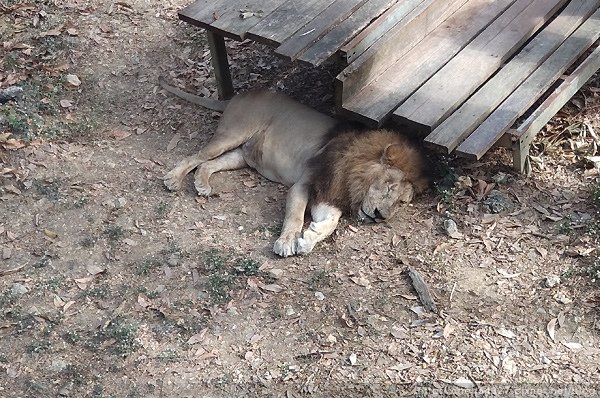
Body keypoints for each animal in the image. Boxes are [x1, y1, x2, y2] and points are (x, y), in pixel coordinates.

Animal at [161, 79, 432, 256]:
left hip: (241, 155)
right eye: (389, 187)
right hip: (232, 135)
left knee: (208, 164)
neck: (352, 176)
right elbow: (295, 215)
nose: (380, 217)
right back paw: (173, 179)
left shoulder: (330, 195)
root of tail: (240, 94)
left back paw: (202, 184)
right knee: (195, 156)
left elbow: (331, 223)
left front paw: (309, 238)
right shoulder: (306, 183)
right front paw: (287, 242)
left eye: (402, 203)